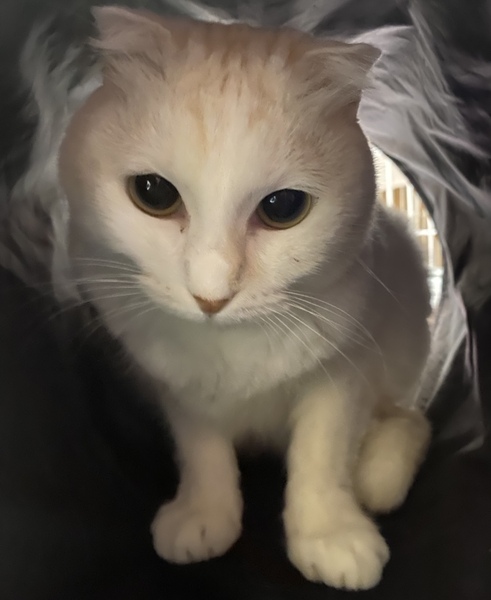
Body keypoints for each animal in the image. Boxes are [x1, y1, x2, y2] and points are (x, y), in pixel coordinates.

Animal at [58, 6, 432, 591]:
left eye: (283, 207)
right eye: (153, 194)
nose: (211, 297)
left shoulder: (343, 373)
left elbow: (321, 456)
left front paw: (328, 534)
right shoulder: (177, 386)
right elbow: (202, 451)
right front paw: (205, 515)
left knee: (412, 421)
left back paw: (376, 477)